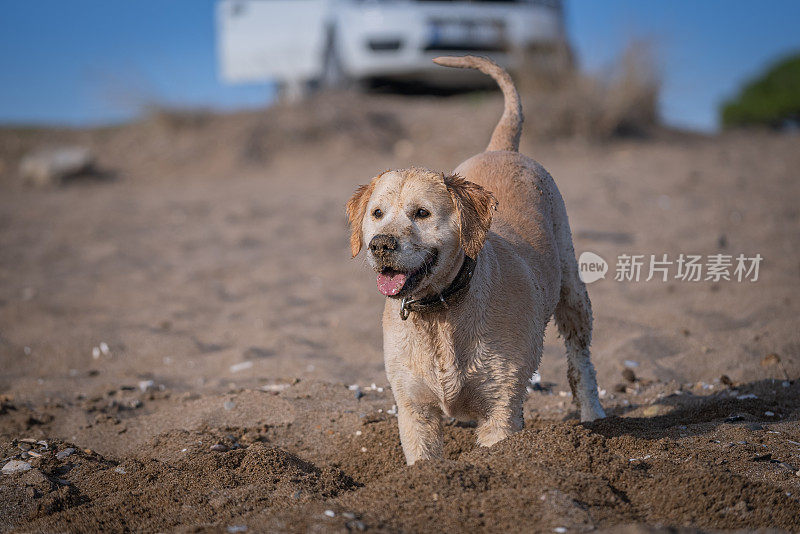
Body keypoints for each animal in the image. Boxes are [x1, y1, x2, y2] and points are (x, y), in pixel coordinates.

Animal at [346, 55, 604, 464]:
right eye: (377, 213)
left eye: (421, 213)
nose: (380, 245)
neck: (440, 313)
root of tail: (503, 147)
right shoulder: (414, 409)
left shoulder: (501, 409)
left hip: (572, 289)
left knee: (581, 362)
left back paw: (595, 416)